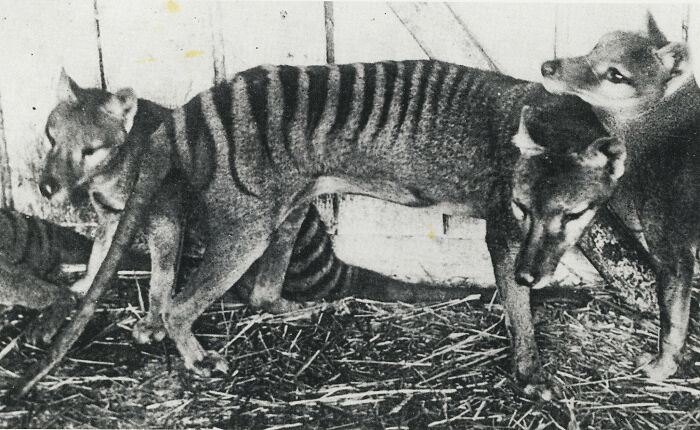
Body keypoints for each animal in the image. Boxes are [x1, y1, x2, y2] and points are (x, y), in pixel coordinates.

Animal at [25, 60, 625, 400]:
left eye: (574, 214)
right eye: (523, 207)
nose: (531, 273)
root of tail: (186, 112)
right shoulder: (503, 232)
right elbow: (519, 311)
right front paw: (531, 370)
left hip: (289, 209)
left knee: (262, 294)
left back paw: (296, 309)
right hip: (247, 230)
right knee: (180, 305)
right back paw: (196, 356)